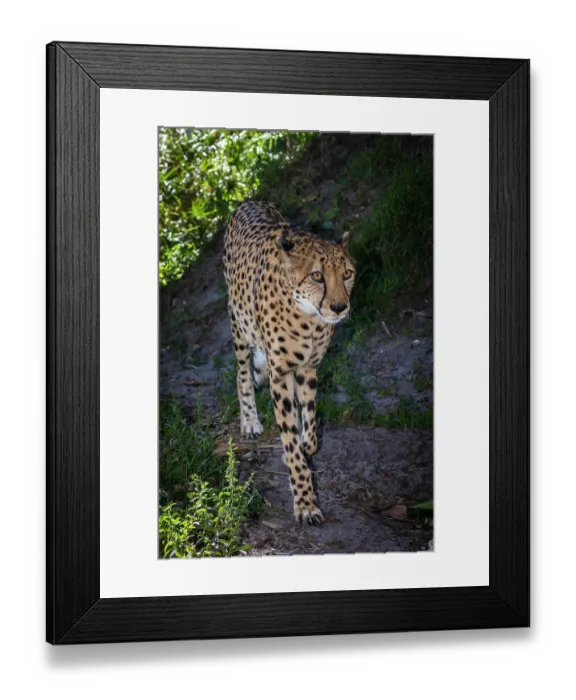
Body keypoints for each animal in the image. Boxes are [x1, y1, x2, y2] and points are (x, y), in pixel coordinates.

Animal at [223, 201, 356, 525]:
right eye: (317, 276)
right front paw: (306, 503)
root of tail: (249, 201)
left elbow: (307, 425)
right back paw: (250, 422)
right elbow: (291, 438)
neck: (308, 318)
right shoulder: (280, 372)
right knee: (242, 375)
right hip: (239, 327)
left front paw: (302, 445)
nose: (339, 307)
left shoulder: (307, 367)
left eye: (347, 273)